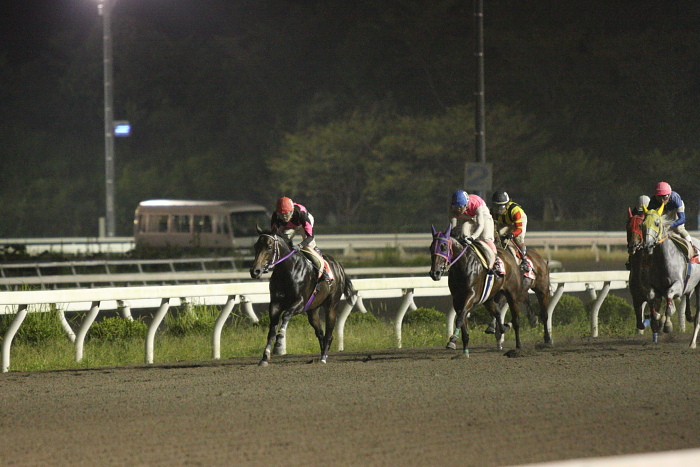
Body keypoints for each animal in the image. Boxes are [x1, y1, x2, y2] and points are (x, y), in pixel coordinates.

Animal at [249, 229, 356, 368]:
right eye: (256, 246)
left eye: (269, 247)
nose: (255, 271)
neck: (287, 271)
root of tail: (339, 266)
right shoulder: (275, 304)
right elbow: (271, 330)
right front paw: (265, 357)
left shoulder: (300, 303)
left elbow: (286, 315)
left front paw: (279, 341)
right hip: (312, 311)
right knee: (320, 333)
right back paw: (322, 354)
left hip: (332, 305)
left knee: (328, 334)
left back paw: (323, 358)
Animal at [426, 226, 524, 354]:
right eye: (431, 247)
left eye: (444, 247)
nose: (435, 273)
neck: (463, 265)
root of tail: (509, 254)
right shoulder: (457, 299)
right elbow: (462, 321)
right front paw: (462, 349)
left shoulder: (471, 295)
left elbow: (460, 318)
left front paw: (453, 337)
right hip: (488, 298)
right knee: (497, 312)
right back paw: (502, 328)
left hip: (512, 295)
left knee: (516, 319)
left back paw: (518, 346)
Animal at [644, 208, 700, 344]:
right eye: (642, 224)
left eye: (657, 223)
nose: (647, 246)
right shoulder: (655, 286)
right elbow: (651, 297)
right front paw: (656, 320)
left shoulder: (678, 285)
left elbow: (669, 298)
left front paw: (667, 325)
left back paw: (692, 343)